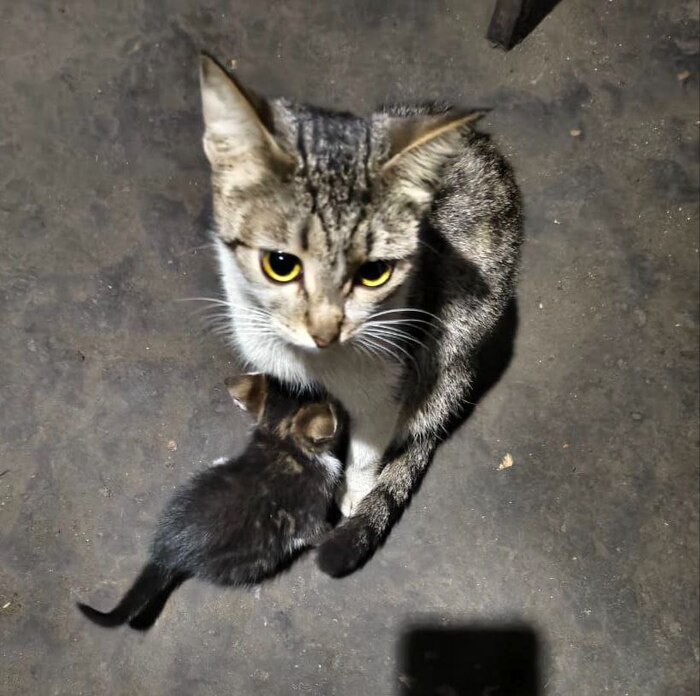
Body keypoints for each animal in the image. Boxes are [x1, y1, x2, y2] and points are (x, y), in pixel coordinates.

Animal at [77, 373, 342, 630]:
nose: (335, 399)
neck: (281, 443)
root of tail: (165, 551)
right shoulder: (309, 510)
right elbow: (317, 533)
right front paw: (337, 532)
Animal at [198, 54, 522, 577]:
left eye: (374, 273)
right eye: (281, 264)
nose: (325, 331)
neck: (315, 365)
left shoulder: (390, 378)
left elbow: (369, 445)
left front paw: (356, 492)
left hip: (452, 351)